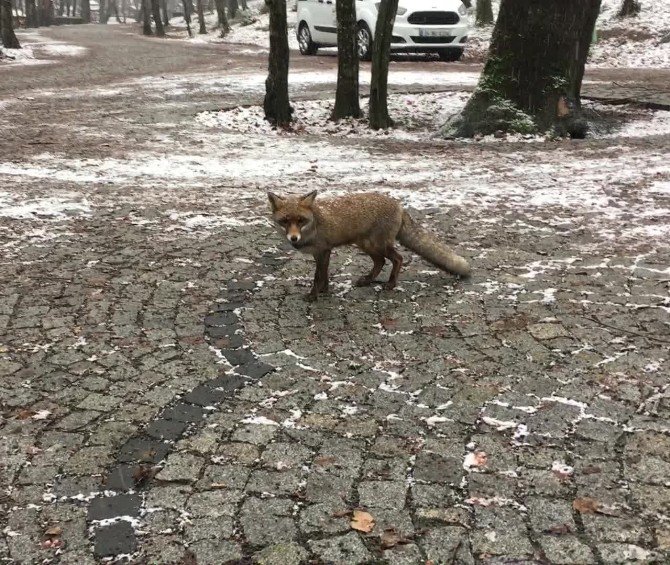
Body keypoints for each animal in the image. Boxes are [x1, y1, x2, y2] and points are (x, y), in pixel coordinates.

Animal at [268, 189, 472, 302]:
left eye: (300, 220)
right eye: (285, 221)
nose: (294, 238)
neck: (315, 224)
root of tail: (399, 206)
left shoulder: (323, 250)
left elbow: (318, 277)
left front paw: (313, 296)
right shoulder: (322, 253)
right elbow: (323, 275)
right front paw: (324, 290)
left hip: (377, 244)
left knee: (398, 258)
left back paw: (391, 284)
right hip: (366, 245)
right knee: (380, 262)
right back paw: (367, 280)